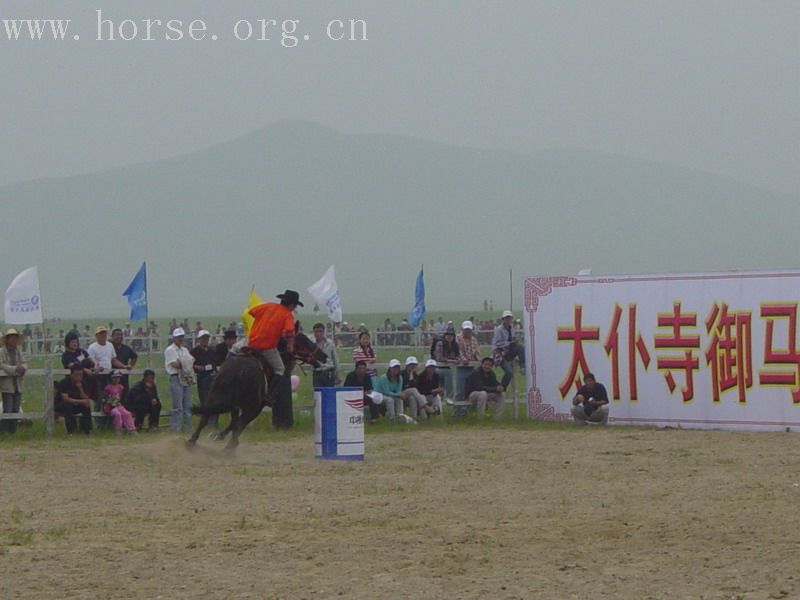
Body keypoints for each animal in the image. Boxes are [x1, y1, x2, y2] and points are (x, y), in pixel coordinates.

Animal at [186, 330, 324, 452]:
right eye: (303, 340)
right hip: (252, 407)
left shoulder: (235, 405)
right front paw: (223, 437)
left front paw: (219, 435)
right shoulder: (256, 407)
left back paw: (192, 442)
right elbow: (237, 423)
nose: (323, 355)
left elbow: (233, 421)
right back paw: (228, 449)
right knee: (240, 422)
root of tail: (238, 370)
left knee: (205, 415)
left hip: (215, 394)